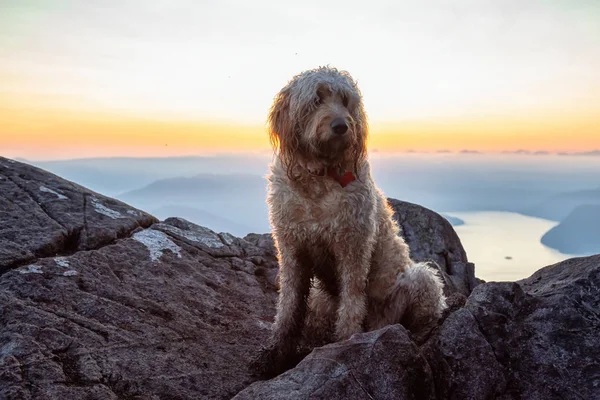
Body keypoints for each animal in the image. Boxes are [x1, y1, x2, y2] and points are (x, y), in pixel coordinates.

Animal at [255, 67, 448, 376]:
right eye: (317, 99)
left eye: (345, 100)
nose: (341, 126)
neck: (319, 179)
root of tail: (380, 323)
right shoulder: (292, 249)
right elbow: (288, 306)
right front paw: (276, 352)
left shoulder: (353, 246)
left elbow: (352, 300)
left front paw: (346, 341)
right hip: (321, 299)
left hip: (420, 280)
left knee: (423, 312)